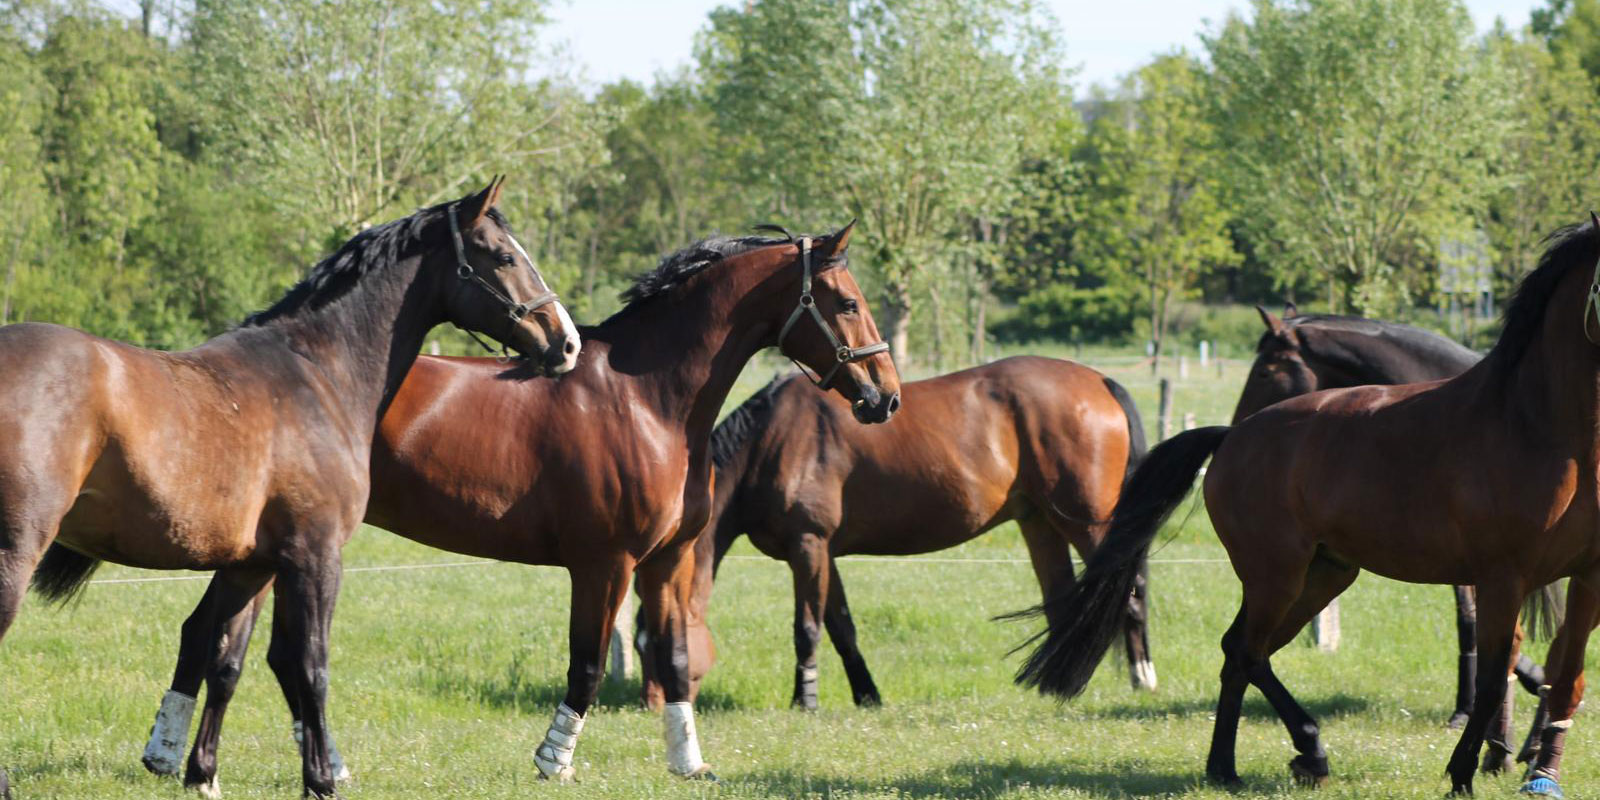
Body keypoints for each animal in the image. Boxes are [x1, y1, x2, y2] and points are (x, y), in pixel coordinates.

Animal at [0, 178, 579, 799]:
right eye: (504, 256)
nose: (566, 343)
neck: (318, 372)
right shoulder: (316, 555)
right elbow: (311, 666)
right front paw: (321, 779)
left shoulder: (251, 565)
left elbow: (226, 663)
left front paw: (204, 774)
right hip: (17, 550)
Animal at [111, 222, 901, 789]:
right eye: (848, 302)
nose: (884, 396)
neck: (650, 401)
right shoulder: (604, 563)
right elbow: (587, 666)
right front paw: (554, 761)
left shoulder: (667, 561)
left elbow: (674, 657)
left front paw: (689, 762)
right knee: (215, 636)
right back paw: (184, 754)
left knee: (227, 640)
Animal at [676, 357, 1150, 711]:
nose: (661, 702)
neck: (770, 440)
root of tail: (1101, 381)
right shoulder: (825, 554)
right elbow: (841, 626)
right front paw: (867, 696)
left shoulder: (807, 546)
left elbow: (806, 627)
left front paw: (804, 701)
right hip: (1040, 523)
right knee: (1063, 602)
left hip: (1086, 522)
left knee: (1129, 592)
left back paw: (1141, 678)